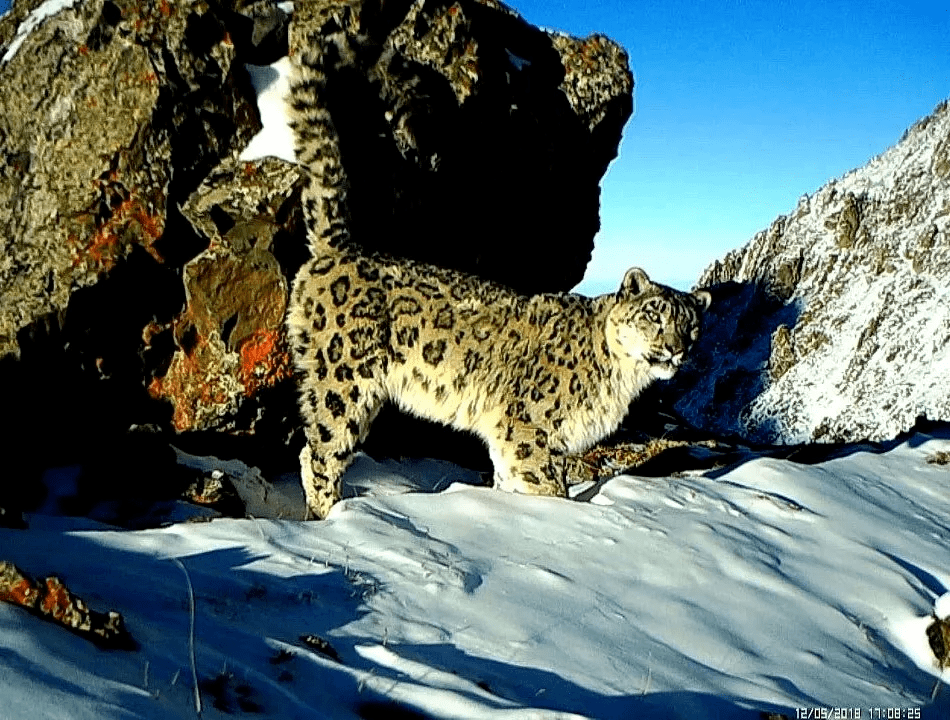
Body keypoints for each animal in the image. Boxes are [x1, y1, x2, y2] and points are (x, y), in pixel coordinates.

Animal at [286, 1, 712, 516]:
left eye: (692, 326)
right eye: (654, 315)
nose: (675, 349)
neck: (623, 380)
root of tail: (340, 247)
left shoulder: (511, 441)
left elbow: (512, 482)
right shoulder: (529, 429)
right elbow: (549, 487)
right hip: (343, 381)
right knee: (320, 452)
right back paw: (331, 515)